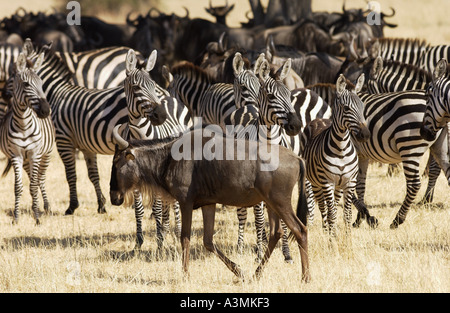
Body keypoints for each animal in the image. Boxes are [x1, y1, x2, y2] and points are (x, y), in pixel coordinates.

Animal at [0, 51, 55, 223]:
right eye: (25, 84)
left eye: (42, 83)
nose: (45, 111)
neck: (23, 125)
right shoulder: (16, 155)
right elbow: (18, 187)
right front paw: (16, 218)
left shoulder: (34, 154)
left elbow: (34, 186)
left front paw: (37, 219)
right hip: (25, 161)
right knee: (33, 178)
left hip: (46, 155)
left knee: (40, 179)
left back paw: (46, 207)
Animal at [122, 48, 192, 249]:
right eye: (136, 87)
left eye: (153, 86)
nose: (161, 115)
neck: (141, 136)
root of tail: (171, 97)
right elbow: (138, 209)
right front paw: (138, 243)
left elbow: (158, 207)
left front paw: (160, 243)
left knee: (173, 202)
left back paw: (176, 231)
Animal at [302, 74, 370, 235]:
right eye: (346, 108)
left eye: (362, 107)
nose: (365, 134)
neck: (341, 150)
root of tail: (318, 119)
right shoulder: (327, 182)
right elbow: (331, 212)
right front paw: (332, 238)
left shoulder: (349, 182)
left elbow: (347, 214)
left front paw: (348, 238)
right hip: (315, 183)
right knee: (323, 208)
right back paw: (326, 231)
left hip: (337, 186)